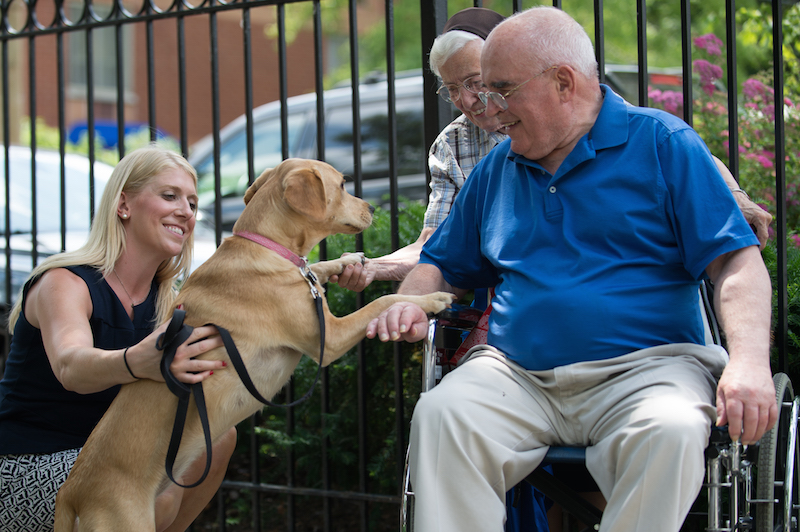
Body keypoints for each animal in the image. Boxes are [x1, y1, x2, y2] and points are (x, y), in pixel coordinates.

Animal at [54, 159, 456, 532]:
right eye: (342, 185)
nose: (373, 208)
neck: (267, 245)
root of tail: (72, 495)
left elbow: (317, 268)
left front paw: (349, 260)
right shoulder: (330, 338)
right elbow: (382, 302)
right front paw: (431, 298)